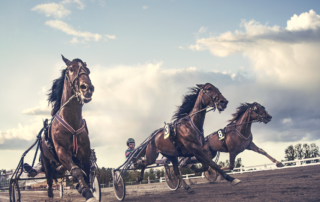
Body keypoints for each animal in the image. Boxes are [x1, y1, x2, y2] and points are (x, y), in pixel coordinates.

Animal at [39, 55, 96, 202]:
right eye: (71, 69)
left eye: (88, 70)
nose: (87, 87)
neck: (71, 121)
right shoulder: (62, 151)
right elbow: (76, 171)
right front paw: (86, 192)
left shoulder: (85, 152)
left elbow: (86, 172)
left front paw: (85, 188)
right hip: (46, 161)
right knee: (49, 180)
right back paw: (50, 194)